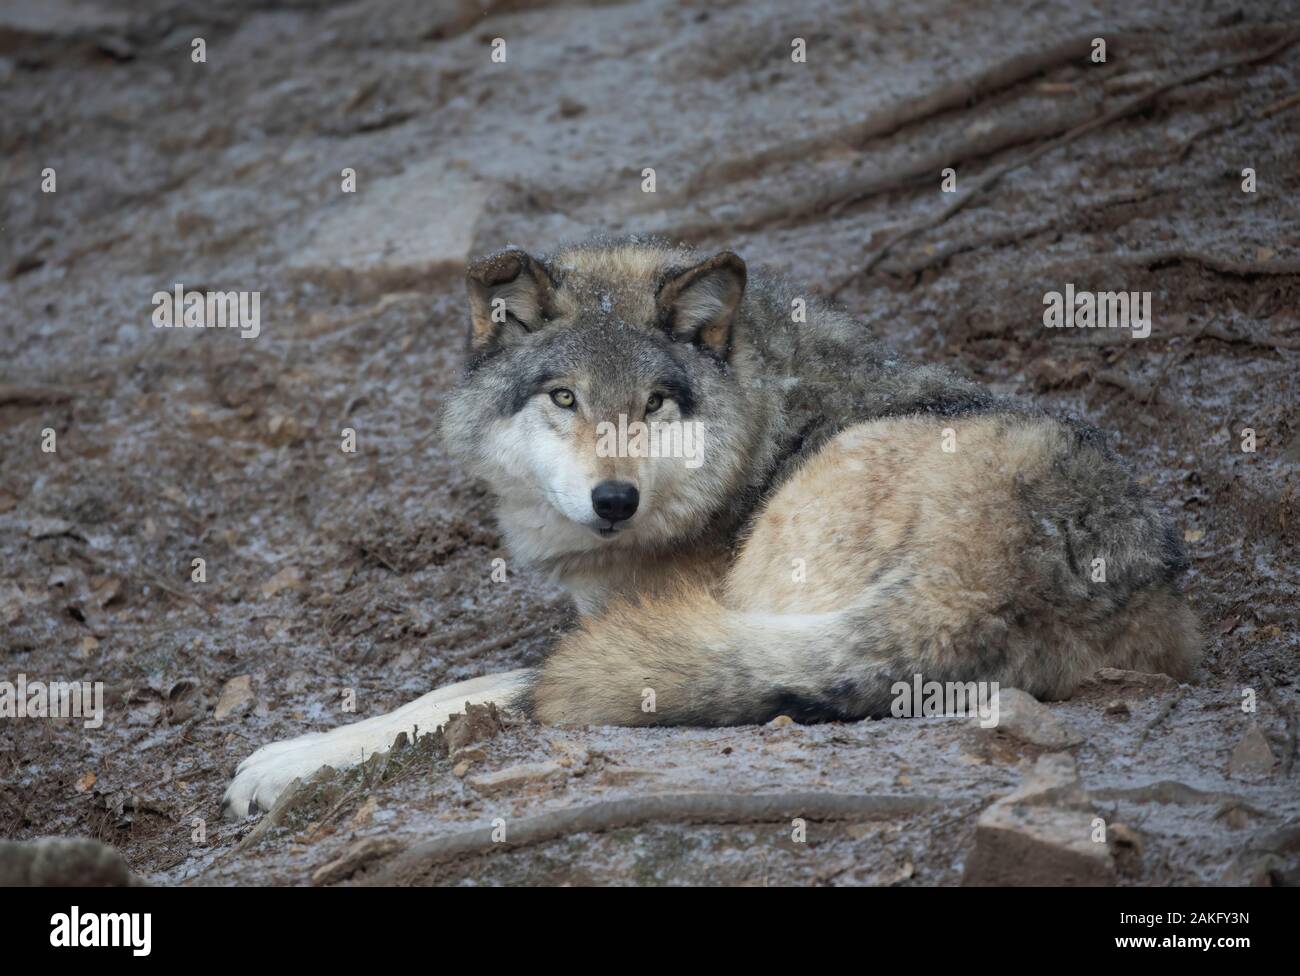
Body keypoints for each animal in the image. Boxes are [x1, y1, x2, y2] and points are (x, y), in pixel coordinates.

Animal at [221, 237, 1199, 817]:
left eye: (656, 403)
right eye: (564, 398)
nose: (614, 500)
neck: (758, 418)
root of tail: (1000, 583)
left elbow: (452, 691)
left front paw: (279, 764)